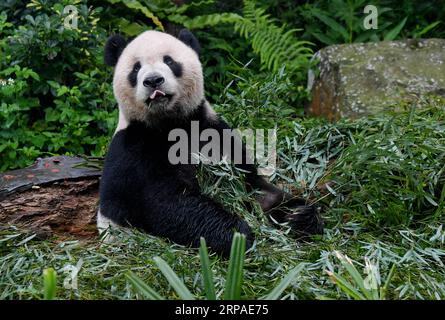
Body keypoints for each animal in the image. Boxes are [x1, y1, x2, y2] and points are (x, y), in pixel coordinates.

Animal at [97, 29, 320, 255]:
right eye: (136, 68)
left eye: (169, 61)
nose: (153, 81)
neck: (168, 123)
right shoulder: (134, 151)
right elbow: (168, 202)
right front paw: (239, 235)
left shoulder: (210, 129)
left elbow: (253, 187)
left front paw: (299, 216)